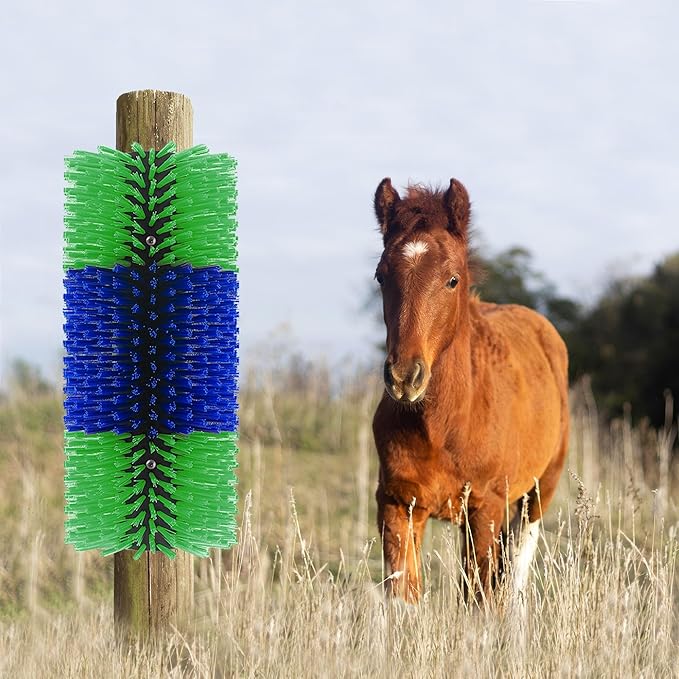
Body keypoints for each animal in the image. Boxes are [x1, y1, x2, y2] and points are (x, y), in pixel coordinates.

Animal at [372, 177, 569, 603]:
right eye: (381, 276)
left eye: (452, 279)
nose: (404, 377)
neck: (444, 423)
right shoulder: (398, 503)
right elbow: (403, 595)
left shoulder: (486, 509)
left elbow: (479, 599)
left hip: (537, 495)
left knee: (515, 575)